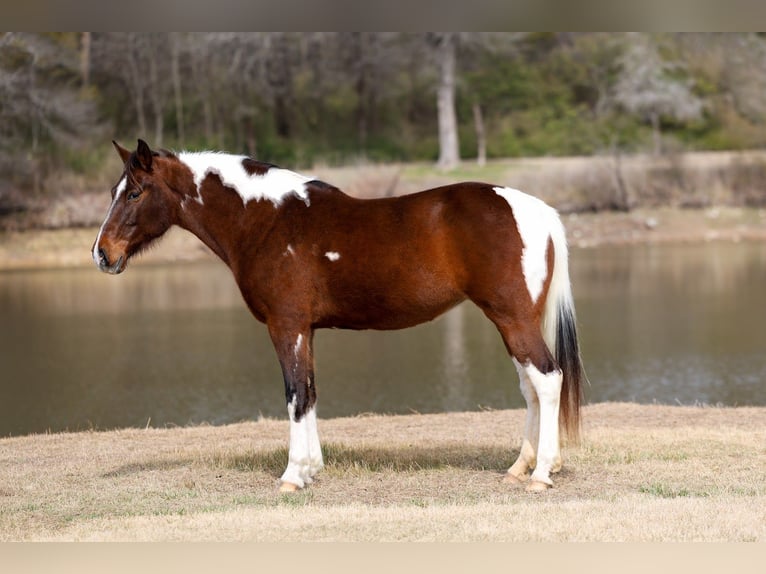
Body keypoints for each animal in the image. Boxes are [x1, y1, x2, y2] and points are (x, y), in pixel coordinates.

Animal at [93, 139, 584, 493]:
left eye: (134, 192)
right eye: (115, 192)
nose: (102, 254)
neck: (267, 221)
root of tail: (536, 209)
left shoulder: (286, 326)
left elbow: (294, 394)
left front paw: (293, 476)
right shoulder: (305, 330)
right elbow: (309, 392)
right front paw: (312, 469)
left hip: (512, 318)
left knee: (547, 379)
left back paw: (541, 474)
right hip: (516, 321)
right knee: (531, 387)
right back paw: (521, 466)